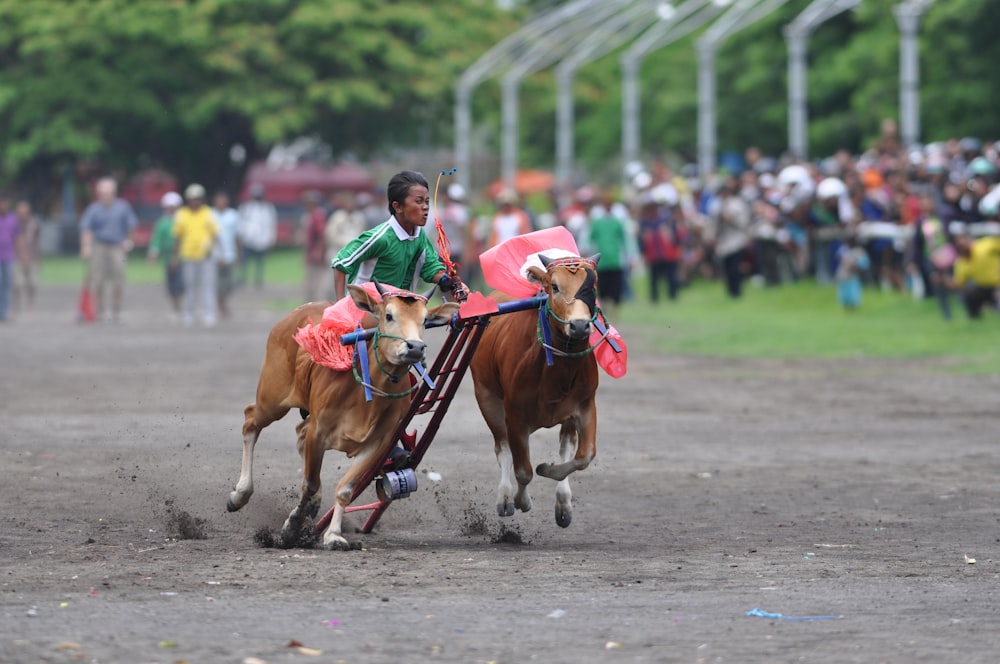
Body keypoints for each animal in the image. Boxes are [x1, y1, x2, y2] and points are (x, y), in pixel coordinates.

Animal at [228, 286, 460, 548]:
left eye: (424, 319)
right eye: (389, 315)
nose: (415, 347)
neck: (366, 395)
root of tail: (293, 315)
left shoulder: (378, 444)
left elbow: (345, 489)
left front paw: (333, 534)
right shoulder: (318, 432)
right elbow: (309, 483)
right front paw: (293, 525)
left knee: (298, 433)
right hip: (272, 399)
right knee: (250, 421)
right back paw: (239, 495)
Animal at [470, 254, 600, 528]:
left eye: (591, 286)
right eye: (554, 286)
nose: (579, 326)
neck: (556, 372)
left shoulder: (584, 405)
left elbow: (583, 456)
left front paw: (549, 473)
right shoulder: (515, 415)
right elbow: (523, 470)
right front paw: (521, 500)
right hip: (487, 398)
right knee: (502, 447)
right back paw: (505, 497)